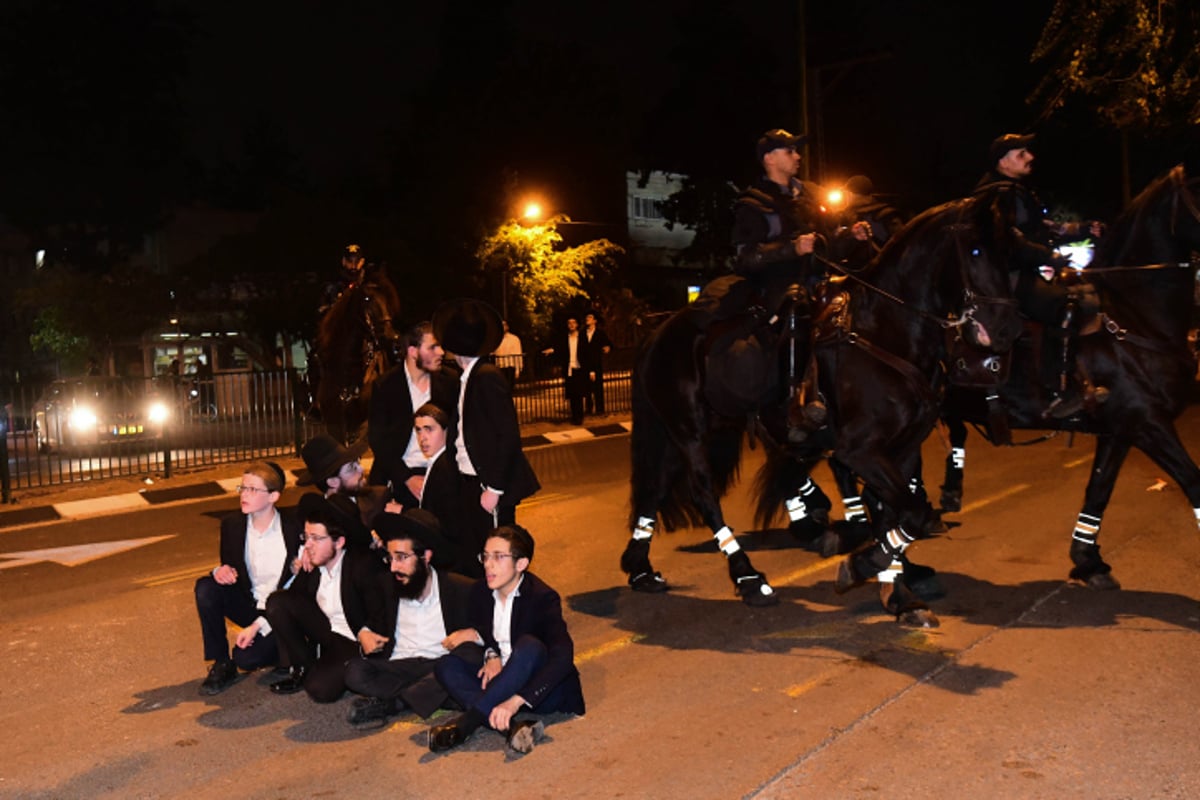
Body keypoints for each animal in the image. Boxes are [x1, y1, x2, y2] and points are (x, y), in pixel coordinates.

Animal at [624, 196, 1027, 609]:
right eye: (976, 251)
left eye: (1008, 254)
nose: (1008, 329)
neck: (883, 331)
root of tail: (657, 334)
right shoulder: (860, 450)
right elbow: (909, 511)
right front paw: (866, 564)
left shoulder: (903, 449)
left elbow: (893, 510)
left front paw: (899, 583)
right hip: (688, 429)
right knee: (704, 493)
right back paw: (749, 577)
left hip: (696, 428)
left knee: (656, 487)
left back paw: (640, 569)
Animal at [936, 164, 1200, 587]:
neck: (1131, 317)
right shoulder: (1149, 423)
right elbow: (1193, 482)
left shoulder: (1122, 429)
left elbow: (1099, 489)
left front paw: (1088, 561)